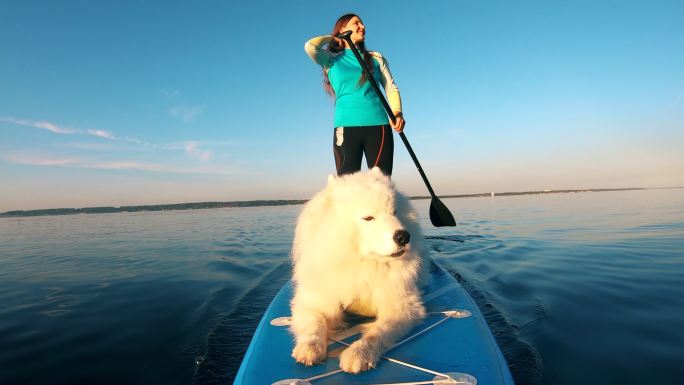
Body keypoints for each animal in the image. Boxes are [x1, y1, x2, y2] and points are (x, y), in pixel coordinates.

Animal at [288, 167, 428, 372]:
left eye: (394, 212)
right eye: (368, 217)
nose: (404, 236)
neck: (362, 263)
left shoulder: (403, 306)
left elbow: (378, 331)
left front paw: (359, 353)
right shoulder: (313, 300)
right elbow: (314, 323)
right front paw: (310, 348)